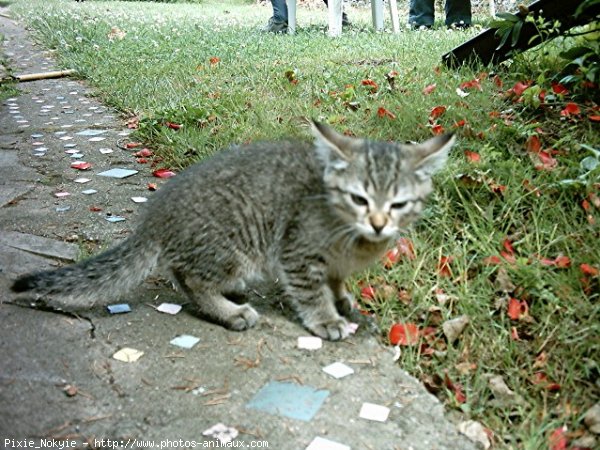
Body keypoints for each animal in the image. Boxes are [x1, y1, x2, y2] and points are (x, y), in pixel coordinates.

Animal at [11, 121, 454, 340]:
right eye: (359, 199)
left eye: (398, 205)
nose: (379, 224)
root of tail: (156, 216)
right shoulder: (297, 252)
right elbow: (312, 292)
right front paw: (326, 319)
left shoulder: (334, 263)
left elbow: (336, 282)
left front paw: (345, 302)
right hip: (230, 248)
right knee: (191, 278)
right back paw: (230, 311)